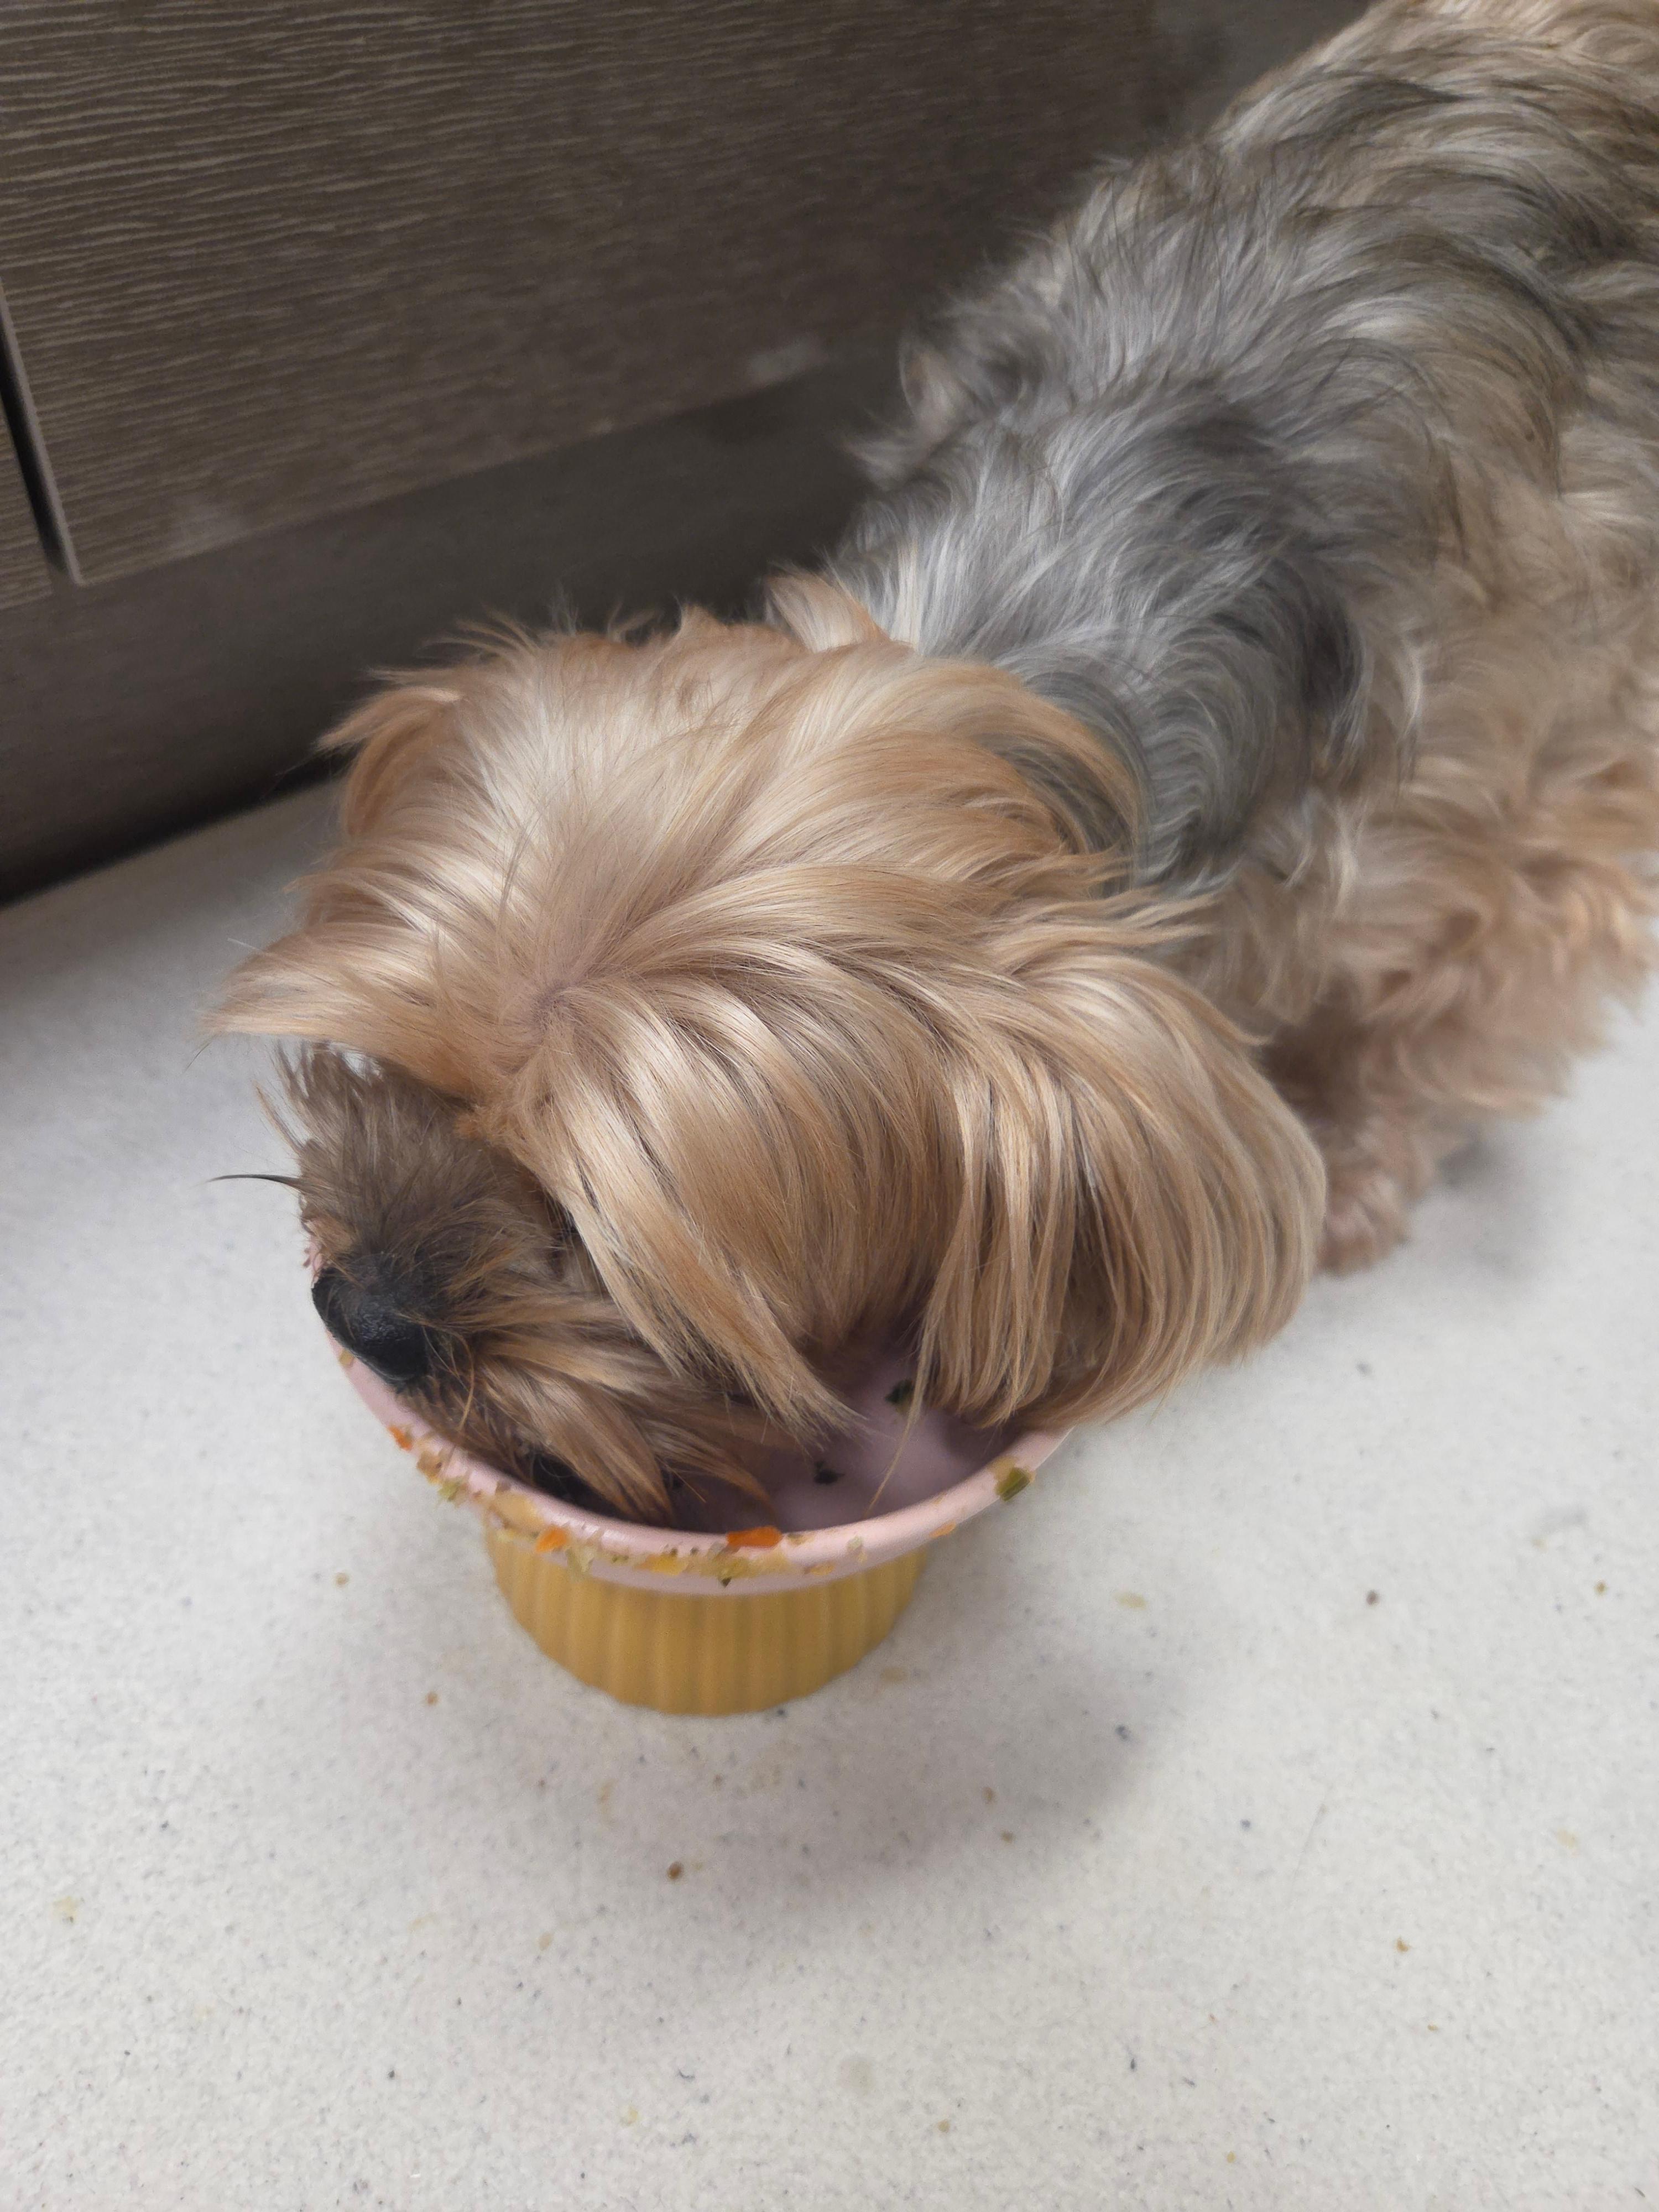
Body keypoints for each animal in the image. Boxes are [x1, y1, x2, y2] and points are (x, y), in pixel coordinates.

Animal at [219, 0, 1659, 1522]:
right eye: (406, 1071)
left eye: (602, 1244)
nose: (365, 1313)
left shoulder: (1521, 832)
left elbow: (1456, 1012)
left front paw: (1353, 1162)